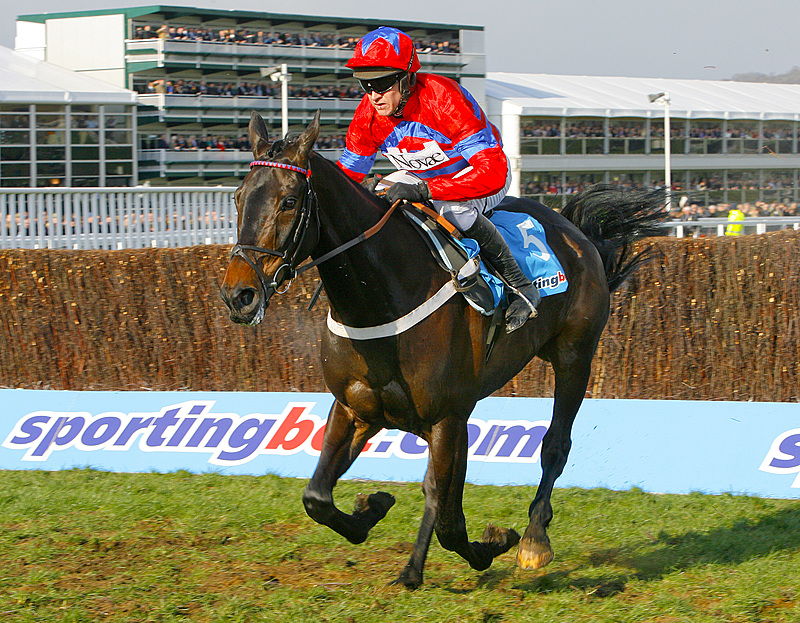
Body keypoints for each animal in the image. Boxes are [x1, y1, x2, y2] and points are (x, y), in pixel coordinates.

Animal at [220, 110, 668, 589]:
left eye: (288, 201)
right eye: (238, 198)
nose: (239, 295)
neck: (383, 297)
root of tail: (575, 231)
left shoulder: (446, 417)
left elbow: (442, 505)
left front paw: (421, 568)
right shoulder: (356, 408)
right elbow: (318, 495)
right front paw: (372, 508)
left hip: (574, 356)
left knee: (554, 445)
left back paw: (534, 539)